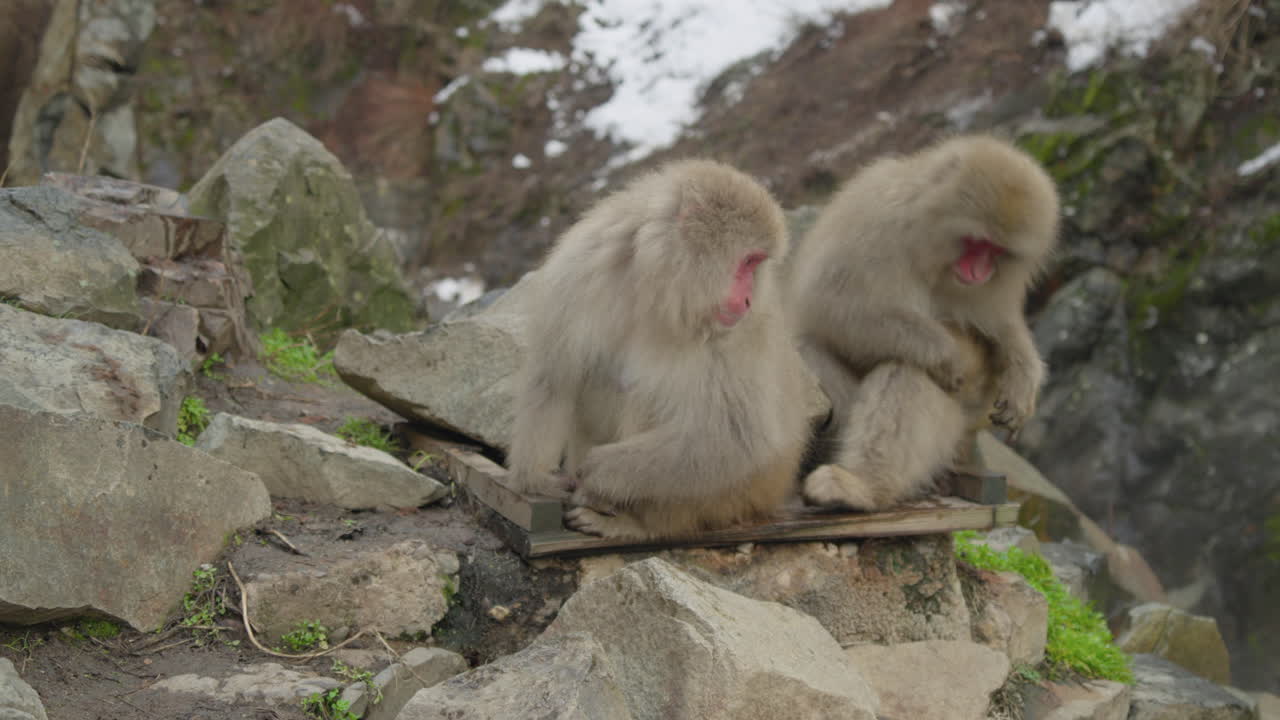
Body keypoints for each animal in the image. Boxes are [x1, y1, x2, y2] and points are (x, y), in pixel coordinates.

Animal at [506, 159, 811, 540]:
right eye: (749, 261)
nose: (747, 299)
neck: (658, 288)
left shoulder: (739, 331)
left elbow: (736, 439)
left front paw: (597, 473)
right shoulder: (581, 267)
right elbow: (554, 376)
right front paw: (534, 478)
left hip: (738, 495)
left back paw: (635, 524)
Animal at [787, 134, 1059, 512]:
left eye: (996, 251)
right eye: (976, 242)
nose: (979, 272)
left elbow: (1002, 327)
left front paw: (1022, 380)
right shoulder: (873, 222)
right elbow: (838, 307)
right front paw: (947, 355)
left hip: (961, 426)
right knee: (890, 363)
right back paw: (864, 486)